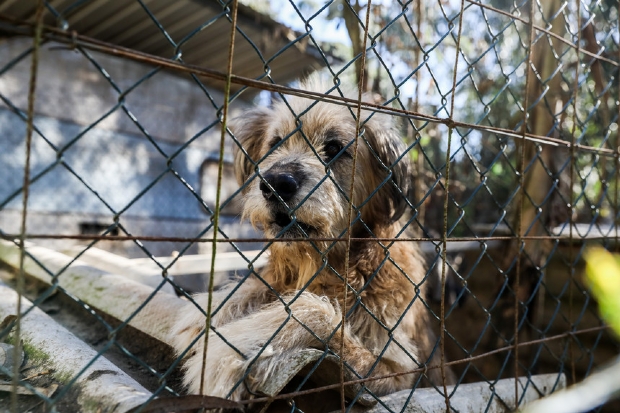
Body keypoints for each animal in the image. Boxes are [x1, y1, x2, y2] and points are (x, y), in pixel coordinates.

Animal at [172, 77, 448, 402]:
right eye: (275, 143)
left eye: (334, 147)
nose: (276, 183)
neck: (337, 264)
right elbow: (259, 285)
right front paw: (205, 315)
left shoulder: (398, 371)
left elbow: (315, 312)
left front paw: (228, 351)